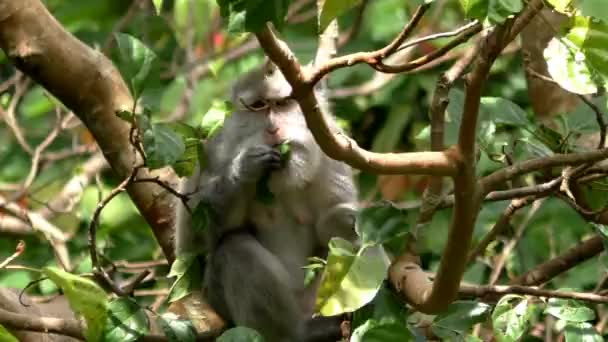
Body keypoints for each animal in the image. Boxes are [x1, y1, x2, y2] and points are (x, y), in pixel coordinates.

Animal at [173, 60, 358, 340]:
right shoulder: (211, 151)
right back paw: (298, 333)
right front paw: (243, 170)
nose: (273, 129)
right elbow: (192, 249)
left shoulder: (332, 148)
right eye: (259, 106)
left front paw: (347, 221)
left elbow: (335, 218)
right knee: (233, 247)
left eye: (282, 104)